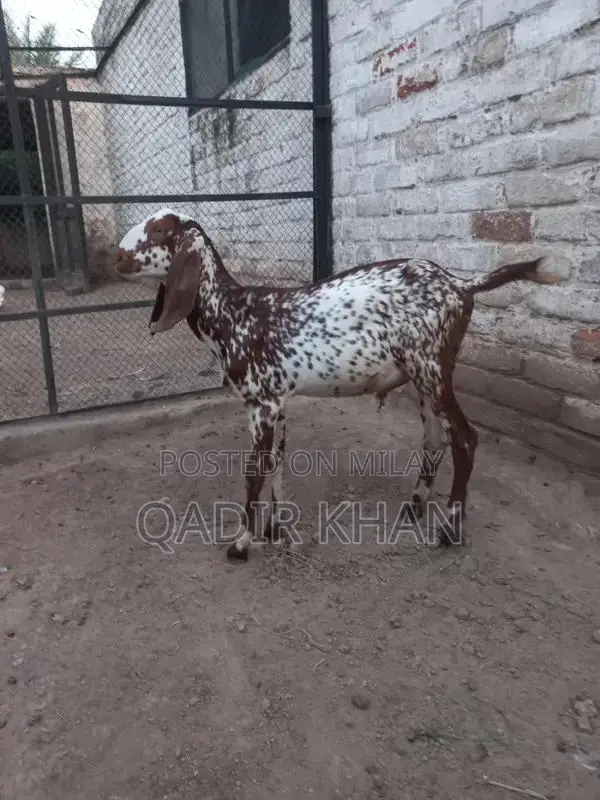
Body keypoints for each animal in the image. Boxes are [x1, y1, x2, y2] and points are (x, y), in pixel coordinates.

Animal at [116, 208, 560, 562]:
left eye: (159, 230)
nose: (118, 256)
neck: (233, 313)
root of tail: (461, 284)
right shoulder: (278, 401)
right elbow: (276, 462)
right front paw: (275, 529)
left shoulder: (260, 402)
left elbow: (254, 471)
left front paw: (241, 543)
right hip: (422, 376)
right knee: (434, 438)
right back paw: (414, 507)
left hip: (431, 367)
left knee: (465, 438)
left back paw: (449, 530)